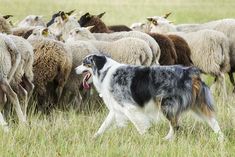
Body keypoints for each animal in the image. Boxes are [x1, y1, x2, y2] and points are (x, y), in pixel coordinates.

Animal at [75, 54, 224, 141]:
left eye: (84, 63)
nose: (75, 70)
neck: (105, 71)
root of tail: (190, 72)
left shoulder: (129, 107)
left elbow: (139, 125)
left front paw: (146, 137)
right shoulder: (117, 108)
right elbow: (104, 125)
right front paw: (94, 138)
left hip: (166, 104)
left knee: (175, 125)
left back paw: (166, 139)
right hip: (197, 104)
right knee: (212, 121)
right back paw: (220, 138)